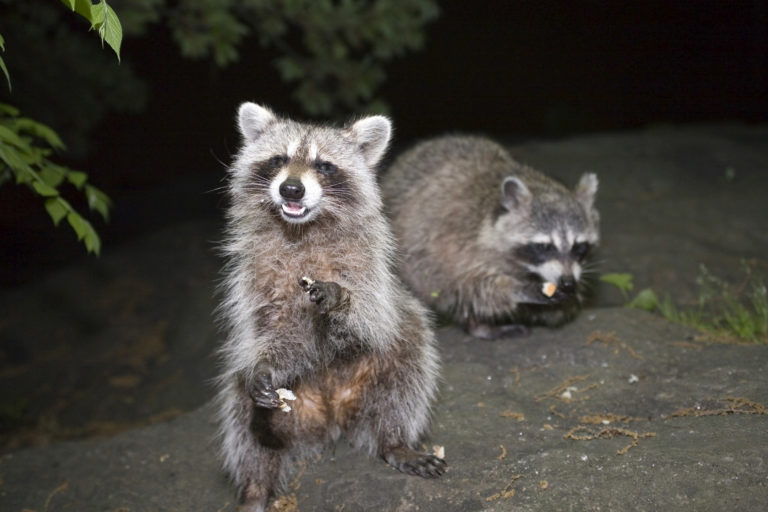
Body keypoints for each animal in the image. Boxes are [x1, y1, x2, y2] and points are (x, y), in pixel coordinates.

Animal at [216, 103, 446, 512]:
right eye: (279, 160)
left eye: (324, 165)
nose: (291, 188)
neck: (302, 229)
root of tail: (332, 414)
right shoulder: (256, 275)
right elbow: (274, 329)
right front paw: (267, 364)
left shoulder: (369, 266)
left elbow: (371, 316)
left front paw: (342, 301)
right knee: (244, 416)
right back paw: (256, 486)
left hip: (384, 370)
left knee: (409, 362)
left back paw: (395, 440)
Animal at [381, 135, 599, 340]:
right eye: (544, 247)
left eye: (580, 247)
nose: (568, 282)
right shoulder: (460, 242)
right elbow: (474, 285)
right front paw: (519, 289)